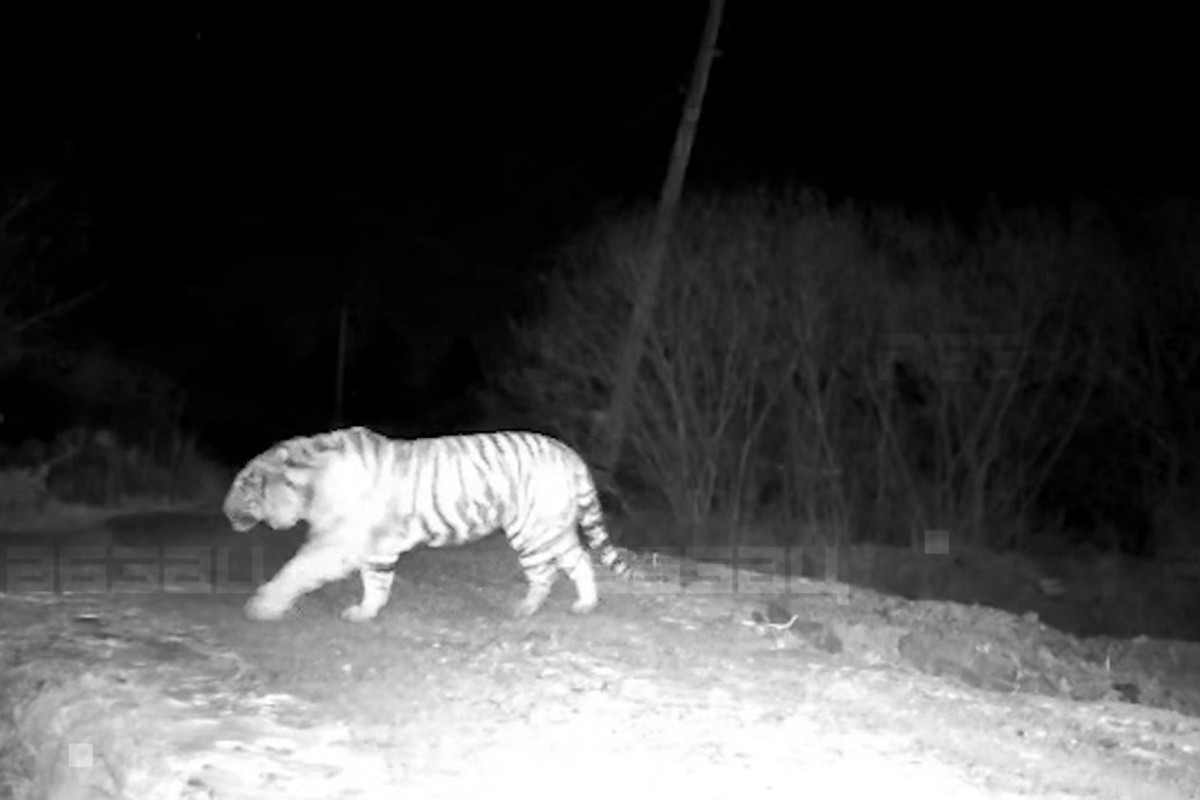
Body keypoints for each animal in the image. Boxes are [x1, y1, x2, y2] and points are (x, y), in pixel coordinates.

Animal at [222, 426, 631, 622]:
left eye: (242, 486)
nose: (225, 512)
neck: (311, 484)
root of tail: (570, 453)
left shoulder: (340, 541)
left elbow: (297, 569)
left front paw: (262, 607)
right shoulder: (375, 546)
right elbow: (376, 583)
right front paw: (365, 613)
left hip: (533, 529)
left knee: (552, 570)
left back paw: (531, 608)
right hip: (550, 528)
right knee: (577, 561)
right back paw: (579, 604)